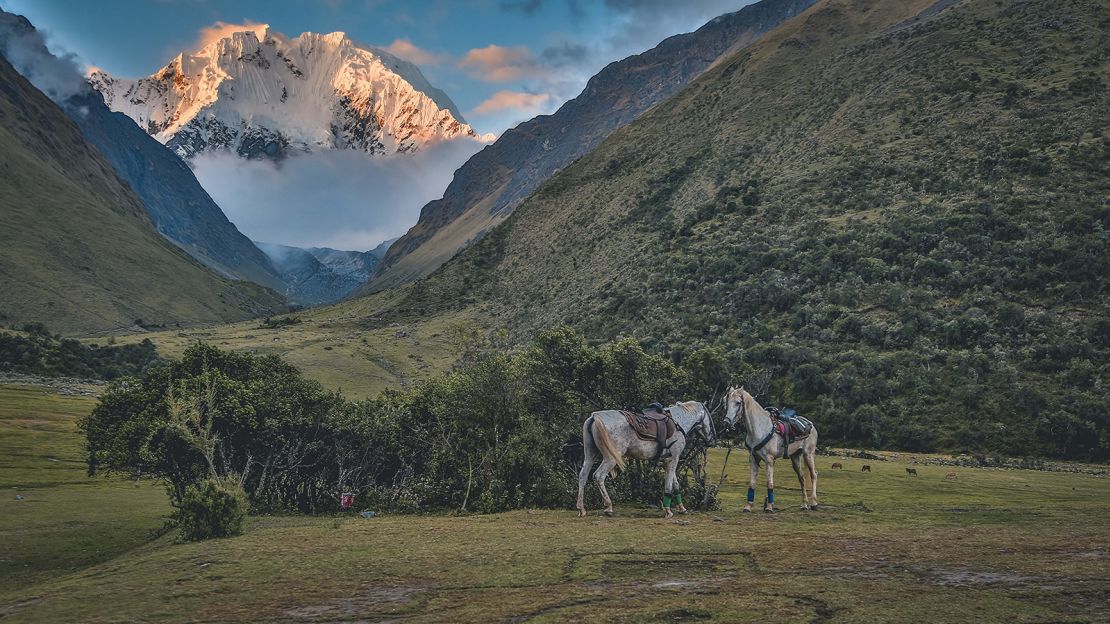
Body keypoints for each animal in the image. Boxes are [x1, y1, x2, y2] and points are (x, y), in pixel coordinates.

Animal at [577, 399, 714, 517]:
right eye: (710, 419)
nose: (712, 440)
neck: (678, 423)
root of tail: (595, 417)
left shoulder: (669, 460)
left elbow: (675, 484)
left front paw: (682, 508)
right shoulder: (673, 459)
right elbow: (669, 486)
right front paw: (668, 511)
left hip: (590, 456)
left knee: (583, 476)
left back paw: (581, 509)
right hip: (610, 459)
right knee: (598, 476)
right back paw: (608, 507)